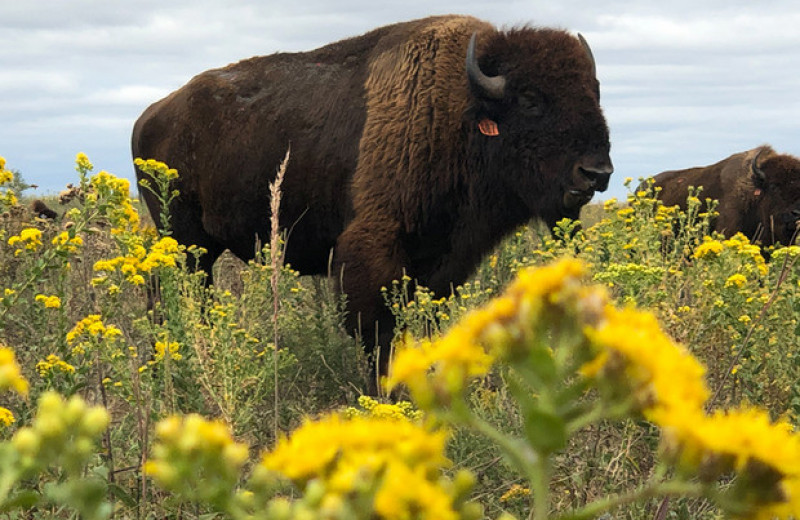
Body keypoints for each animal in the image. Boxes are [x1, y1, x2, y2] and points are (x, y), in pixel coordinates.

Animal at [133, 14, 612, 368]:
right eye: (530, 99)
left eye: (595, 94)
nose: (596, 172)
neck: (459, 113)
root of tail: (151, 115)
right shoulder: (372, 252)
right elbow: (379, 334)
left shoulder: (443, 263)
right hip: (184, 241)